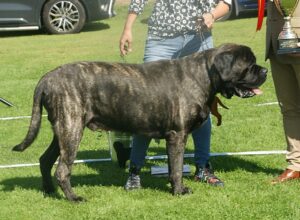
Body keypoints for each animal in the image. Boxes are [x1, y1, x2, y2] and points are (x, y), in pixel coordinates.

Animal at [12, 43, 268, 201]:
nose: (265, 70)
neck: (203, 74)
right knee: (62, 169)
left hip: (63, 131)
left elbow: (174, 167)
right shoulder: (177, 135)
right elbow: (176, 168)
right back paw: (73, 198)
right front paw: (179, 190)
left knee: (45, 160)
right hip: (71, 128)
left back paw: (49, 191)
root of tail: (47, 78)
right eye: (249, 65)